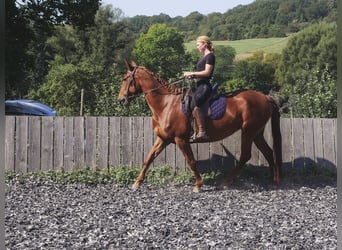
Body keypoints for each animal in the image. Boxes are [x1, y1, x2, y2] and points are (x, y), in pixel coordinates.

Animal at [117, 60, 284, 191]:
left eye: (125, 78)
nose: (120, 100)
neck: (166, 104)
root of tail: (266, 97)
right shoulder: (163, 139)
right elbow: (149, 158)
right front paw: (136, 183)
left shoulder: (181, 140)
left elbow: (191, 161)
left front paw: (198, 185)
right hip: (257, 132)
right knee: (268, 152)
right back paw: (274, 180)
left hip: (248, 131)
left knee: (245, 156)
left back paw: (226, 182)